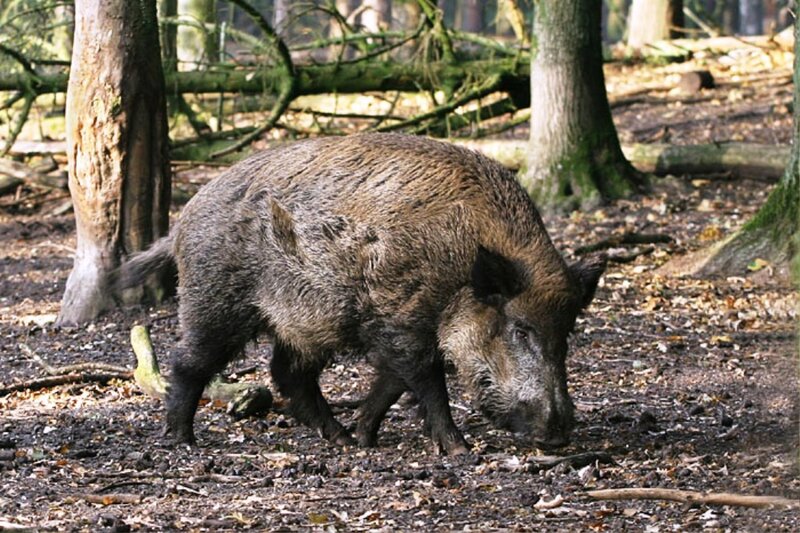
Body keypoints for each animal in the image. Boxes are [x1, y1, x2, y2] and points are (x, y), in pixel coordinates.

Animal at [116, 133, 605, 454]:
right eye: (520, 329)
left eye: (566, 334)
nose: (559, 434)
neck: (462, 260)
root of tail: (182, 221)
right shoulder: (405, 319)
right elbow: (426, 383)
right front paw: (459, 450)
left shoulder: (394, 329)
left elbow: (390, 384)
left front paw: (365, 438)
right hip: (214, 301)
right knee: (188, 361)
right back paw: (182, 440)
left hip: (304, 322)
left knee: (288, 372)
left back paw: (340, 438)